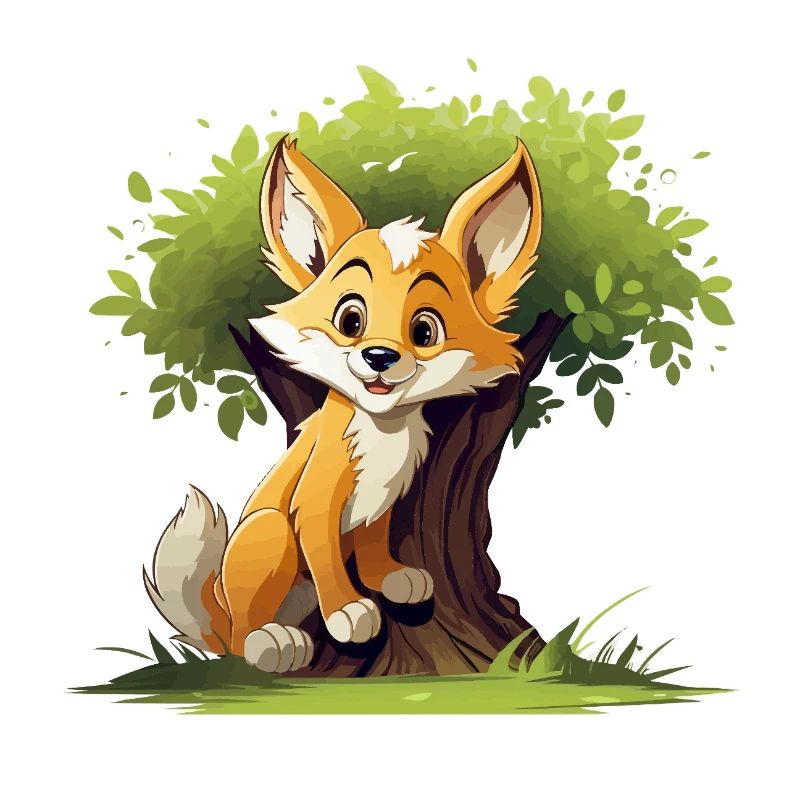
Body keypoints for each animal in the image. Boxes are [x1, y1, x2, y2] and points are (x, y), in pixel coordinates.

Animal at [144, 135, 543, 673]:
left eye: (425, 331)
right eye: (350, 320)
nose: (379, 356)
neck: (382, 431)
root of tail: (220, 616)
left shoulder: (385, 500)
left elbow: (373, 544)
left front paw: (390, 577)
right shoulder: (314, 501)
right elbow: (327, 558)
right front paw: (348, 610)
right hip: (267, 532)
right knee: (243, 630)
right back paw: (270, 641)